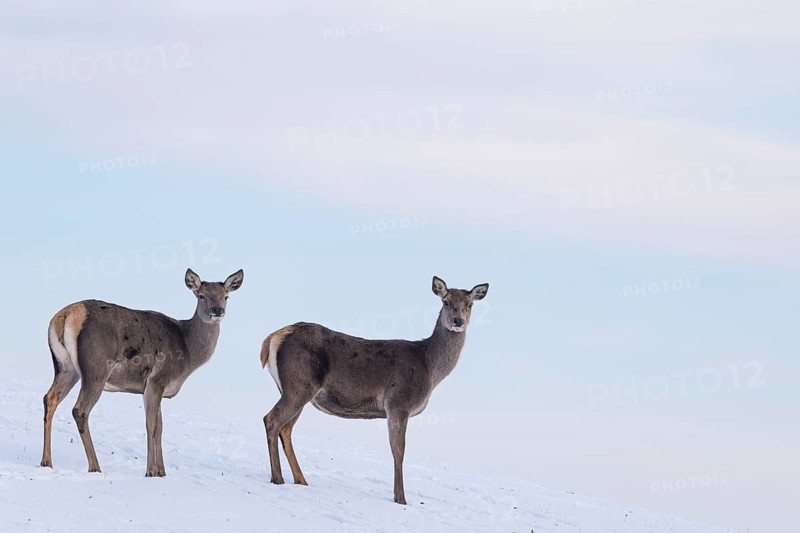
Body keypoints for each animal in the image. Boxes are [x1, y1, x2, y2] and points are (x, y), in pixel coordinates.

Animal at [40, 268, 244, 477]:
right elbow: (151, 425)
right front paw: (151, 471)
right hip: (95, 368)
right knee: (80, 410)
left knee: (49, 398)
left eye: (226, 296)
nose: (217, 311)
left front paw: (162, 472)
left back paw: (46, 461)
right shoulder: (157, 380)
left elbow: (160, 427)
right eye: (201, 295)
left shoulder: (153, 388)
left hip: (66, 367)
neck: (187, 352)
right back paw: (95, 466)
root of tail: (65, 316)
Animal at [259, 275, 489, 504]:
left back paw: (301, 480)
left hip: (295, 390)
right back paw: (277, 477)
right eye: (445, 302)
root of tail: (272, 338)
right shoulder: (398, 403)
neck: (430, 368)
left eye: (470, 304)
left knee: (286, 429)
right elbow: (398, 450)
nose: (458, 321)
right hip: (299, 384)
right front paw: (400, 499)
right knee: (271, 419)